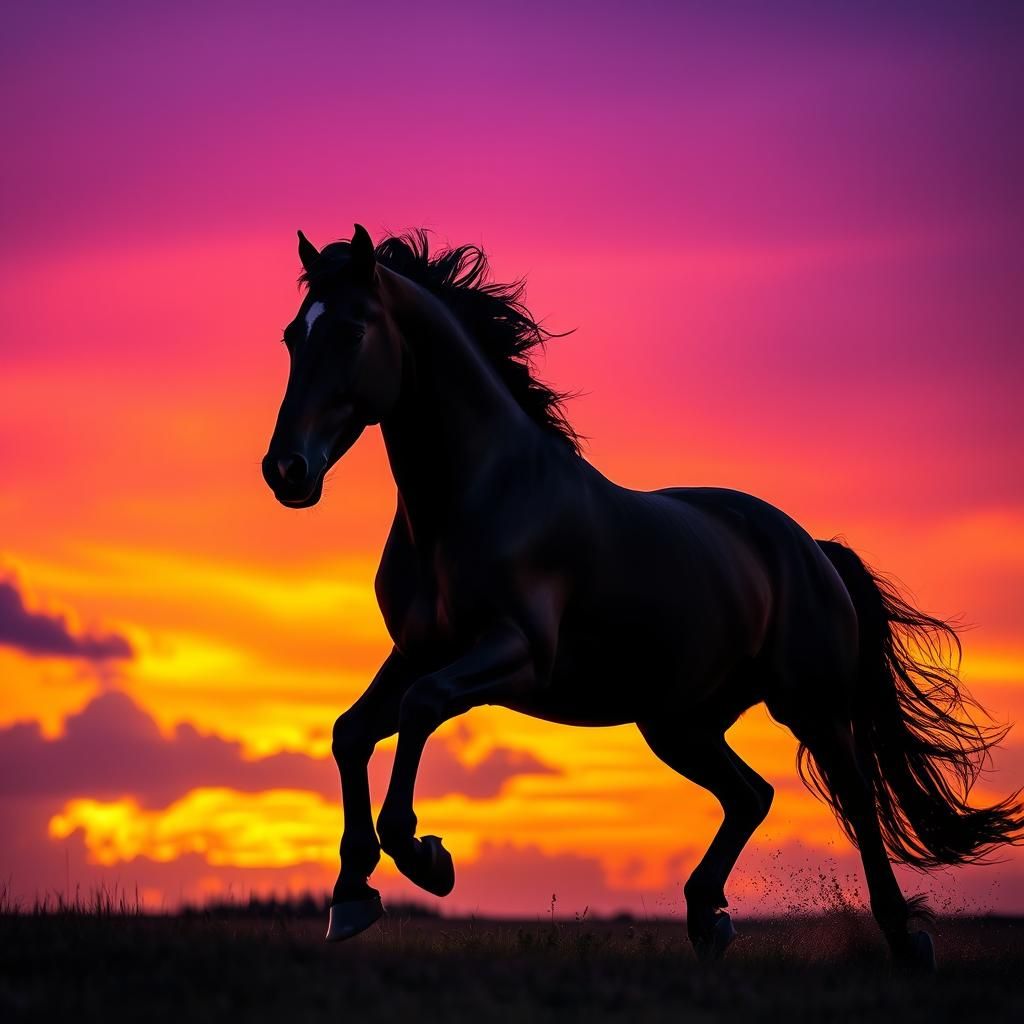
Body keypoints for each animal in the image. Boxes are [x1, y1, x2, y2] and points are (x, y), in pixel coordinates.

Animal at [261, 225, 1022, 969]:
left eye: (352, 329)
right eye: (293, 335)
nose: (286, 470)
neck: (477, 498)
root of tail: (812, 549)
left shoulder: (513, 654)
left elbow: (419, 711)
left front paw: (426, 859)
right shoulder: (418, 651)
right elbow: (351, 731)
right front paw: (351, 894)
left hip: (811, 707)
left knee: (856, 799)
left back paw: (904, 939)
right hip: (679, 723)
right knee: (752, 795)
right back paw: (707, 918)